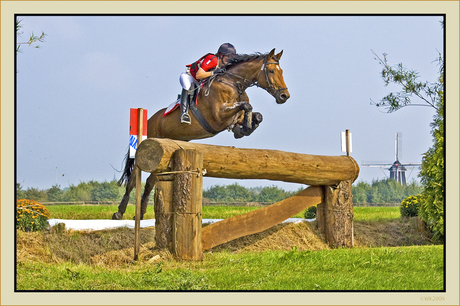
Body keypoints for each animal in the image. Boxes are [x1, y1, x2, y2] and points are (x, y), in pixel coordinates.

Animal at [113, 47, 290, 220]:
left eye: (282, 71)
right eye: (272, 71)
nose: (284, 96)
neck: (234, 83)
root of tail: (149, 120)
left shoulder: (235, 113)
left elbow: (256, 115)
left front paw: (243, 129)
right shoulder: (219, 116)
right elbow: (247, 106)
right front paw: (243, 128)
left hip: (165, 153)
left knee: (151, 180)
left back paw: (141, 213)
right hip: (149, 145)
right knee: (133, 179)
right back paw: (119, 212)